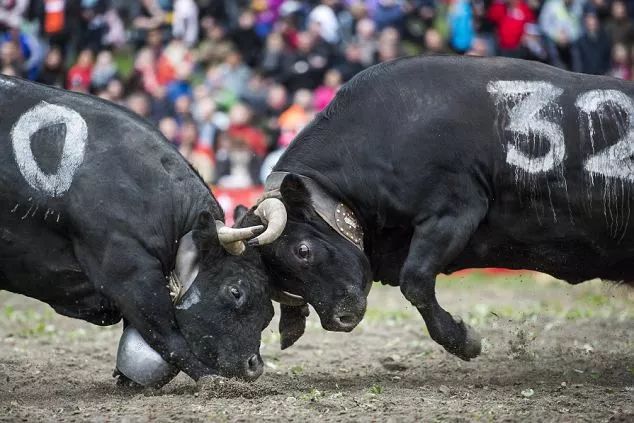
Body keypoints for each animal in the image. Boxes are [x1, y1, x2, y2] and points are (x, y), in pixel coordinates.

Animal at [0, 76, 276, 388]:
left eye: (270, 312)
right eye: (236, 291)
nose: (254, 366)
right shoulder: (130, 276)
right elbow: (170, 339)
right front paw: (213, 381)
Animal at [236, 55, 632, 362]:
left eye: (302, 250)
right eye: (276, 278)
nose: (339, 319)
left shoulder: (454, 211)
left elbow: (415, 281)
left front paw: (464, 340)